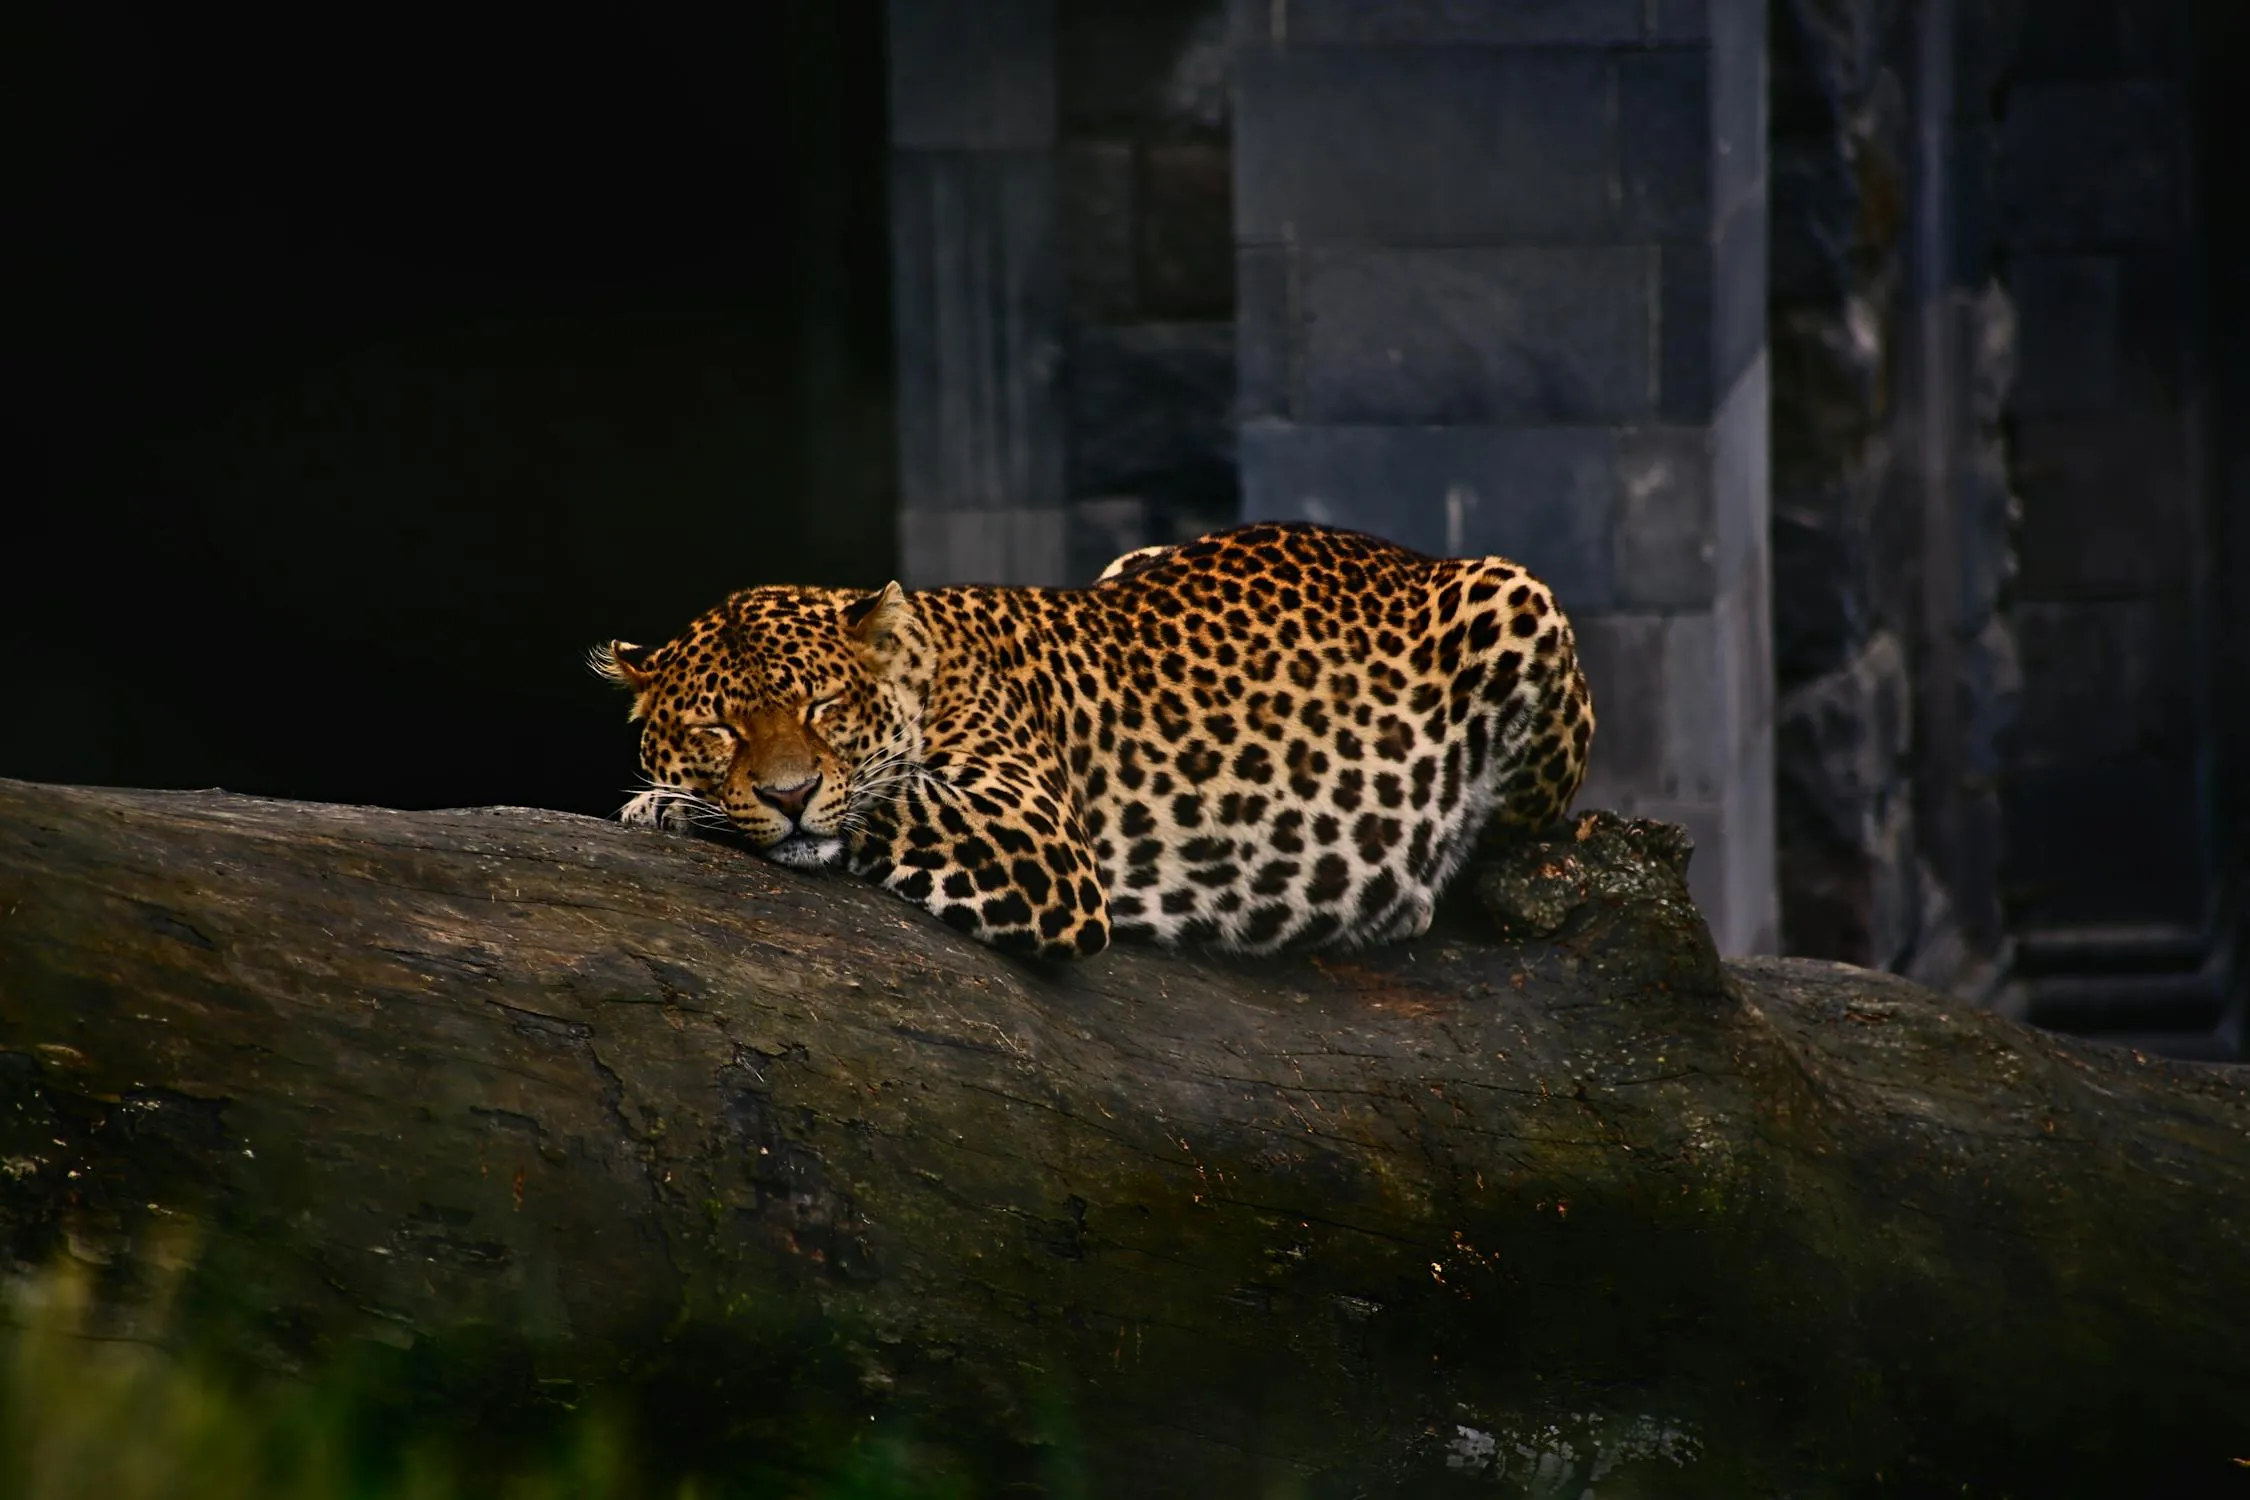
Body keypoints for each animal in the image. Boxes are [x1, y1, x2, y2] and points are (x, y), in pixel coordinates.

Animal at [594, 522, 1594, 962]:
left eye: (826, 705)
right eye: (717, 727)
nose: (789, 793)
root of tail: (1407, 555)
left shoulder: (1033, 839)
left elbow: (887, 798)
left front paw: (673, 807)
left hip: (1519, 598)